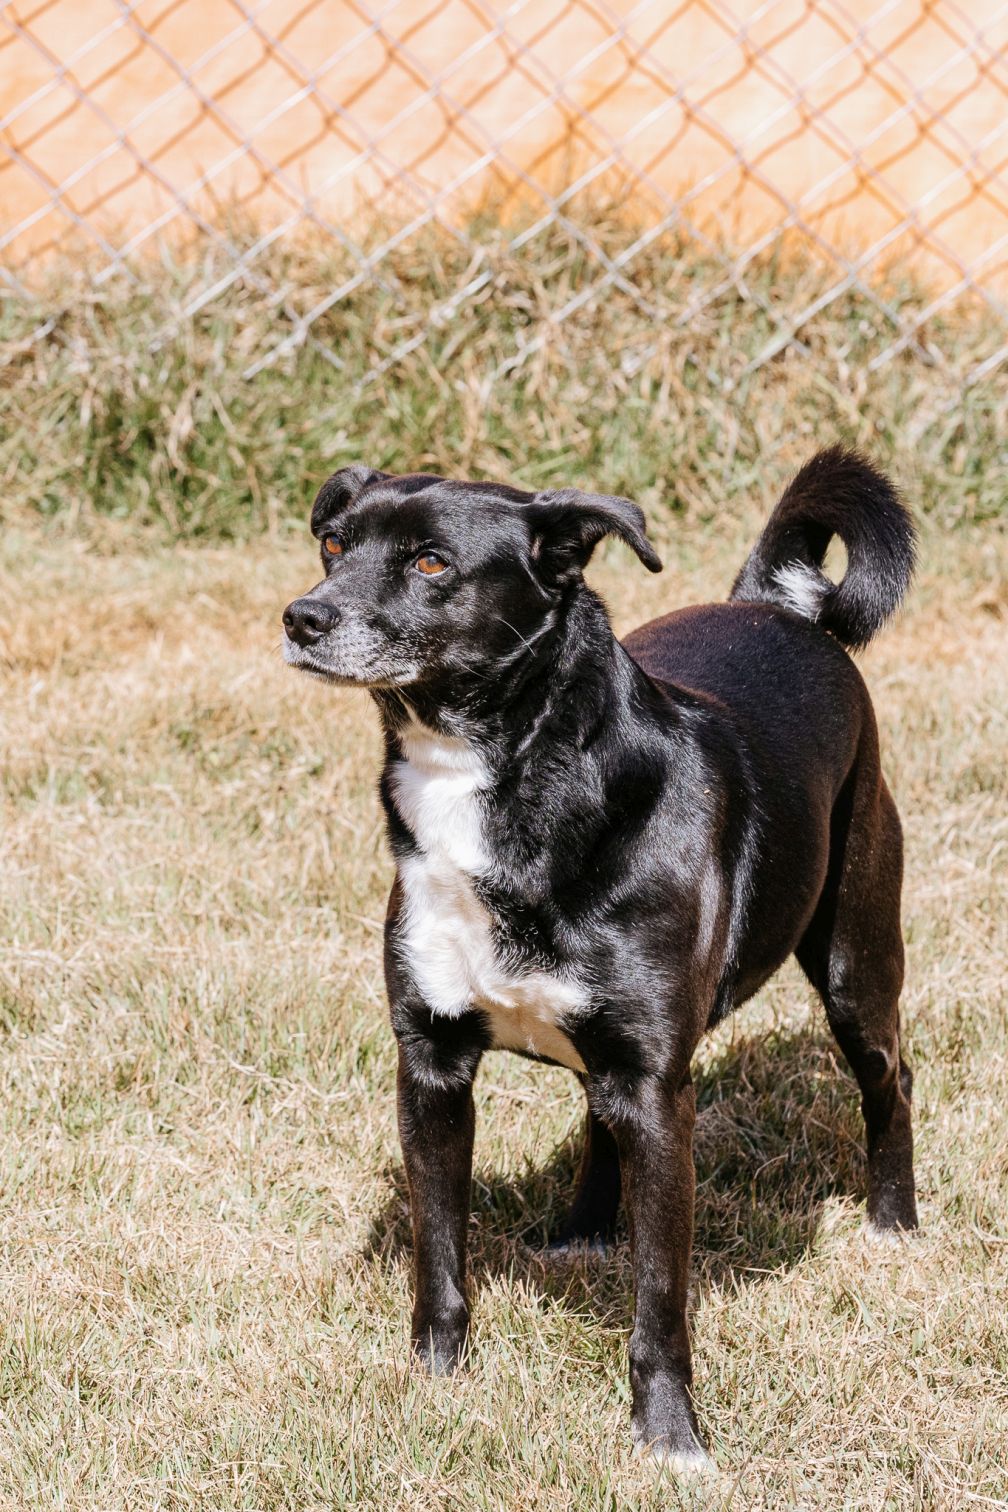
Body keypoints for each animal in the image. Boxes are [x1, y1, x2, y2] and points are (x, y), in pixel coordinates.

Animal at [279, 444, 918, 1463]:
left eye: (431, 562)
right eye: (333, 544)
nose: (303, 617)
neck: (499, 777)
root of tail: (778, 608)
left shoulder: (659, 1091)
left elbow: (660, 1303)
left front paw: (670, 1442)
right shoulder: (431, 1065)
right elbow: (439, 1256)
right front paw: (434, 1383)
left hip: (856, 963)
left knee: (890, 1077)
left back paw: (894, 1226)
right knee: (594, 1116)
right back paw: (582, 1231)